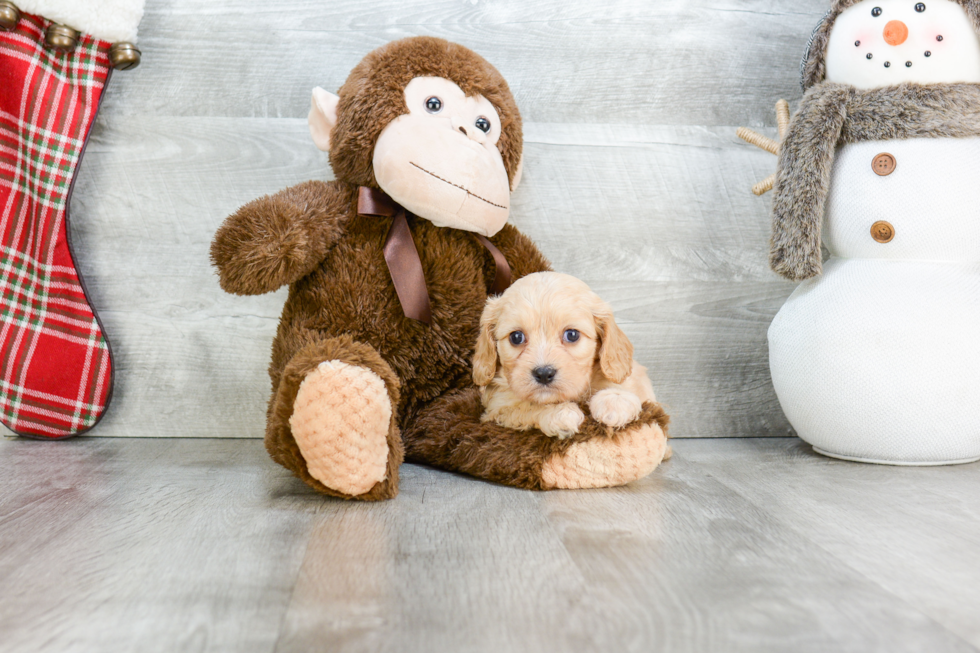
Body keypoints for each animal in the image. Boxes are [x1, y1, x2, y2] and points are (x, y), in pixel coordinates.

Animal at [474, 270, 660, 438]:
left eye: (572, 335)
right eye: (516, 337)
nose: (544, 373)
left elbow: (621, 384)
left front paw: (614, 401)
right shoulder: (497, 406)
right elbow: (524, 406)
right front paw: (559, 413)